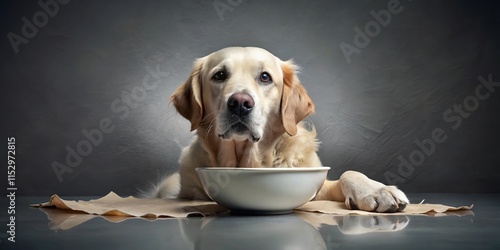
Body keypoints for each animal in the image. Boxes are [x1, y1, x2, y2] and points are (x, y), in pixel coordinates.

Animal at [150, 46, 408, 211]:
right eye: (219, 75)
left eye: (265, 77)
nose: (240, 103)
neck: (249, 161)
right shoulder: (189, 189)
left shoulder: (314, 184)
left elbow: (348, 174)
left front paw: (377, 191)